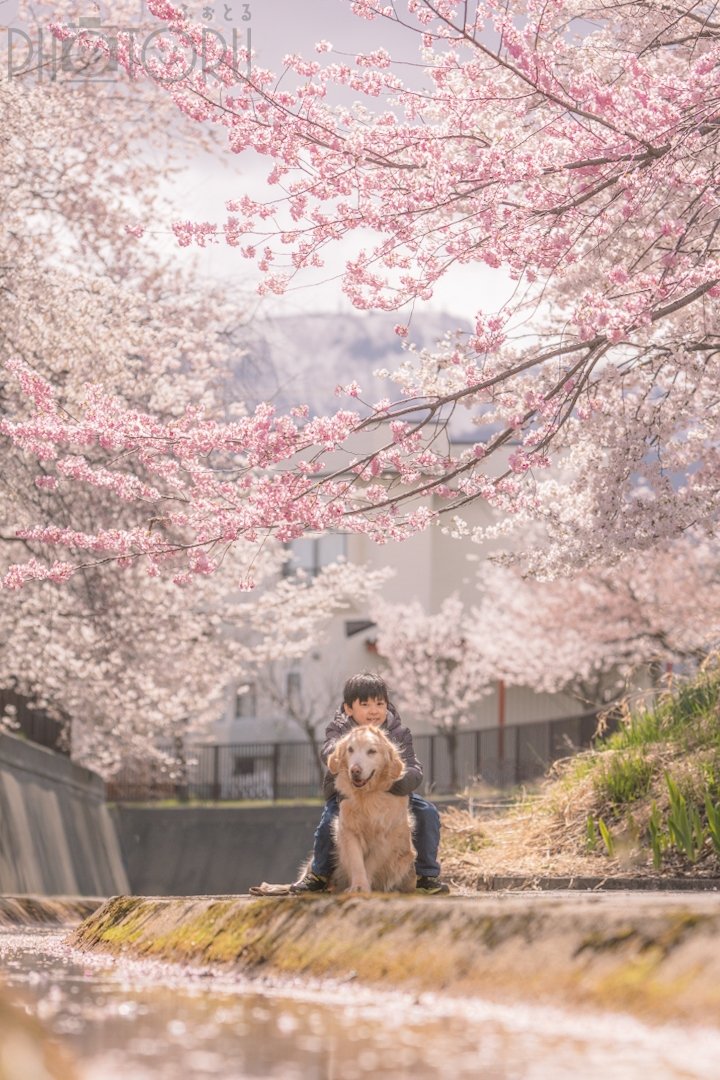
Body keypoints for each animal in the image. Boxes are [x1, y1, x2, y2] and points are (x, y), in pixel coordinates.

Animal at [325, 725, 416, 894]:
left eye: (371, 751)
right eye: (350, 749)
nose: (355, 770)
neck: (366, 796)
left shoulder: (385, 837)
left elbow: (371, 863)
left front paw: (363, 887)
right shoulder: (349, 830)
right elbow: (356, 861)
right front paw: (358, 886)